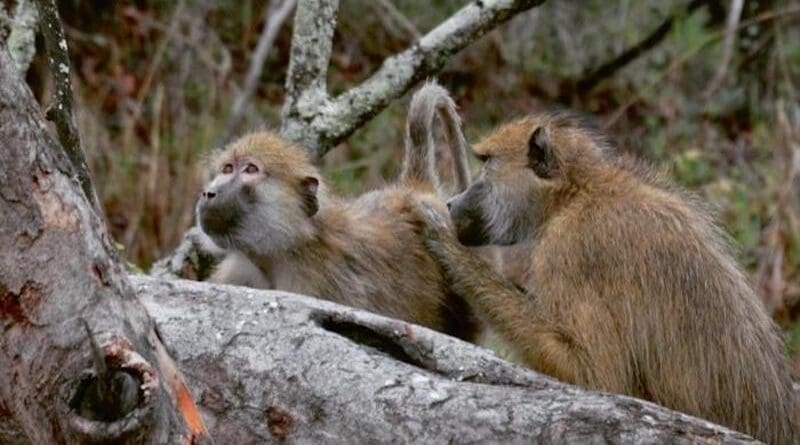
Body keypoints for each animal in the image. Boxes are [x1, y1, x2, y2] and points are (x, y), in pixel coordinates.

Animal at [196, 81, 481, 341]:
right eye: (228, 169)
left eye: (250, 170)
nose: (209, 192)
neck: (281, 251)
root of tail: (417, 189)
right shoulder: (240, 272)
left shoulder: (310, 283)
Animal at [411, 111, 798, 444]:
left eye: (487, 164)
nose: (453, 203)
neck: (577, 193)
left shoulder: (569, 250)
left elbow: (597, 376)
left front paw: (447, 246)